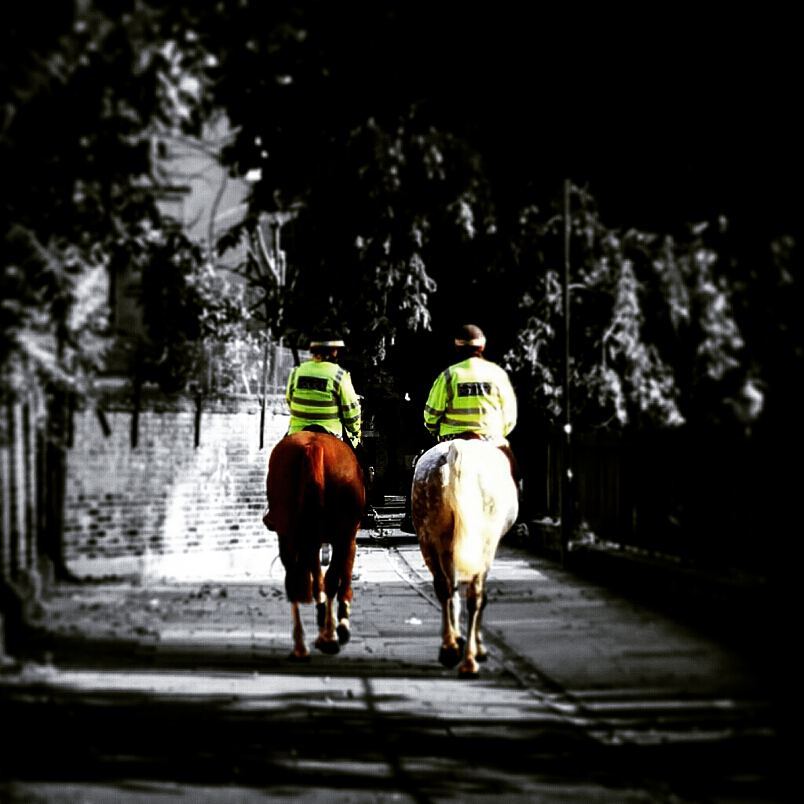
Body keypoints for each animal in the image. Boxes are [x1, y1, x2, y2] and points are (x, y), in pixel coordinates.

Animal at [264, 430, 364, 659]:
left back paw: (301, 646)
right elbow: (342, 578)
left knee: (294, 582)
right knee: (331, 580)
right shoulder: (349, 539)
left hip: (288, 533)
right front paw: (342, 624)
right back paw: (330, 637)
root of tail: (313, 446)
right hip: (342, 534)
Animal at [411, 437, 519, 677]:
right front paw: (479, 647)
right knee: (474, 596)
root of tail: (454, 452)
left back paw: (450, 647)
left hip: (429, 533)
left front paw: (457, 639)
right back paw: (470, 660)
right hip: (483, 540)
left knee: (444, 587)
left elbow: (452, 590)